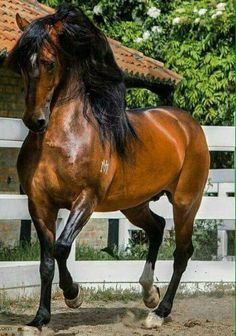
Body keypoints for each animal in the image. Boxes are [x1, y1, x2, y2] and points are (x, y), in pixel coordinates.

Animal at [7, 4, 210, 330]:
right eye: (22, 65)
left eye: (49, 63)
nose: (35, 121)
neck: (63, 141)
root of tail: (186, 123)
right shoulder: (39, 204)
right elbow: (46, 262)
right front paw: (39, 319)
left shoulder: (85, 200)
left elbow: (61, 248)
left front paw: (74, 295)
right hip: (133, 204)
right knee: (157, 228)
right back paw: (149, 294)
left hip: (186, 201)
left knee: (182, 251)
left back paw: (159, 313)